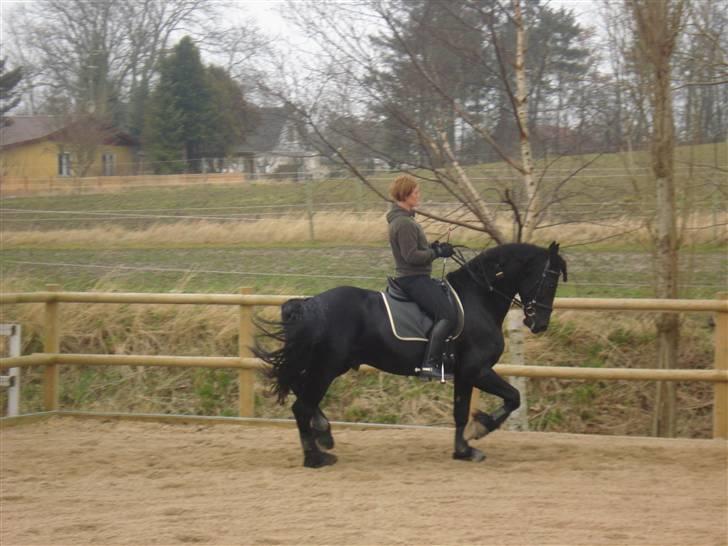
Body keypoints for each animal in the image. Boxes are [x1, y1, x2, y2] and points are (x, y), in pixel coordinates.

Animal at [253, 240, 564, 466]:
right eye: (550, 282)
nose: (540, 324)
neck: (478, 298)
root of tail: (309, 305)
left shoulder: (465, 374)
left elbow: (461, 412)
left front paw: (463, 449)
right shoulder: (477, 370)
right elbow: (512, 397)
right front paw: (481, 429)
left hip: (325, 364)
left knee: (297, 388)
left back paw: (324, 434)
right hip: (326, 366)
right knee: (301, 405)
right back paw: (315, 457)